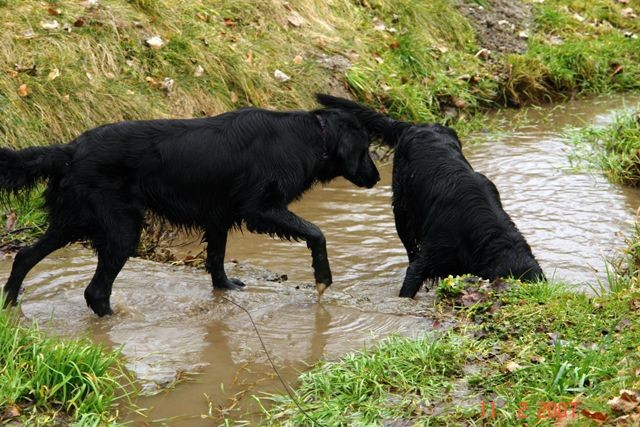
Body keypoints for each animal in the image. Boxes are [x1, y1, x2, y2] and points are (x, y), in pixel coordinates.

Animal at [0, 99, 378, 314]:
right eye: (366, 149)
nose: (376, 178)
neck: (311, 135)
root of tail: (70, 149)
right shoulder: (260, 208)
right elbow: (316, 233)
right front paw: (323, 277)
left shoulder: (220, 216)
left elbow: (216, 260)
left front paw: (225, 290)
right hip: (121, 228)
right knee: (95, 292)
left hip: (72, 220)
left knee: (25, 255)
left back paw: (10, 302)